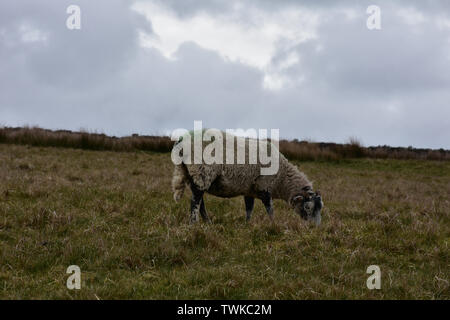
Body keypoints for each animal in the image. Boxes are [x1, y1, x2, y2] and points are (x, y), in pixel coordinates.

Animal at [171, 130, 324, 225]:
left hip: (192, 174)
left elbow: (249, 209)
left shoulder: (249, 190)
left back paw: (207, 222)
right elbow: (270, 209)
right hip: (202, 171)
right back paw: (194, 223)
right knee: (195, 201)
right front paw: (273, 224)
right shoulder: (264, 187)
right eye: (308, 207)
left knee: (199, 201)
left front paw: (247, 225)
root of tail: (181, 141)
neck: (282, 179)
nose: (314, 229)